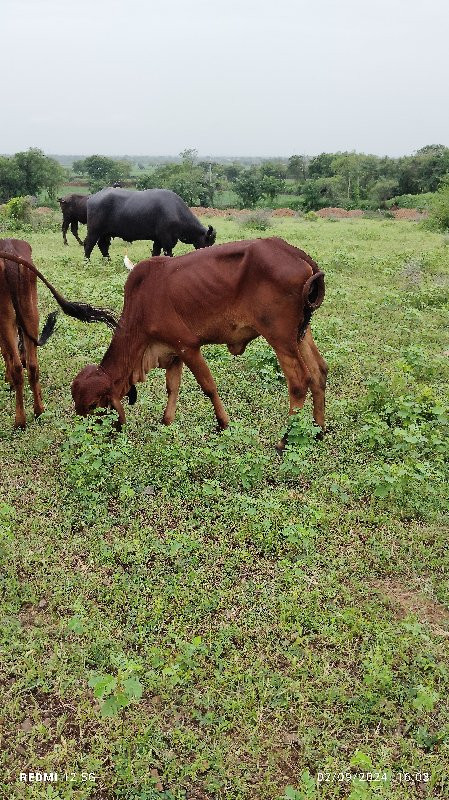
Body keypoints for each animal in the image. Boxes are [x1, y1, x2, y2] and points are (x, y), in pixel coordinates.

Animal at [71, 238, 326, 450]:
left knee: (299, 382)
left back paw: (284, 440)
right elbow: (172, 388)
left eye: (93, 405)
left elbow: (208, 387)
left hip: (280, 337)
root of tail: (295, 253)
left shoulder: (188, 346)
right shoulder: (173, 352)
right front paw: (166, 423)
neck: (141, 306)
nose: (89, 439)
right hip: (300, 334)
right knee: (319, 372)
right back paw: (319, 431)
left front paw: (223, 424)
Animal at [85, 188, 217, 258]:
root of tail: (92, 198)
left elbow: (156, 253)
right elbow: (168, 253)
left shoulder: (157, 240)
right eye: (208, 242)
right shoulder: (167, 240)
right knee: (88, 245)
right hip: (94, 231)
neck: (176, 211)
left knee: (103, 246)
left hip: (105, 234)